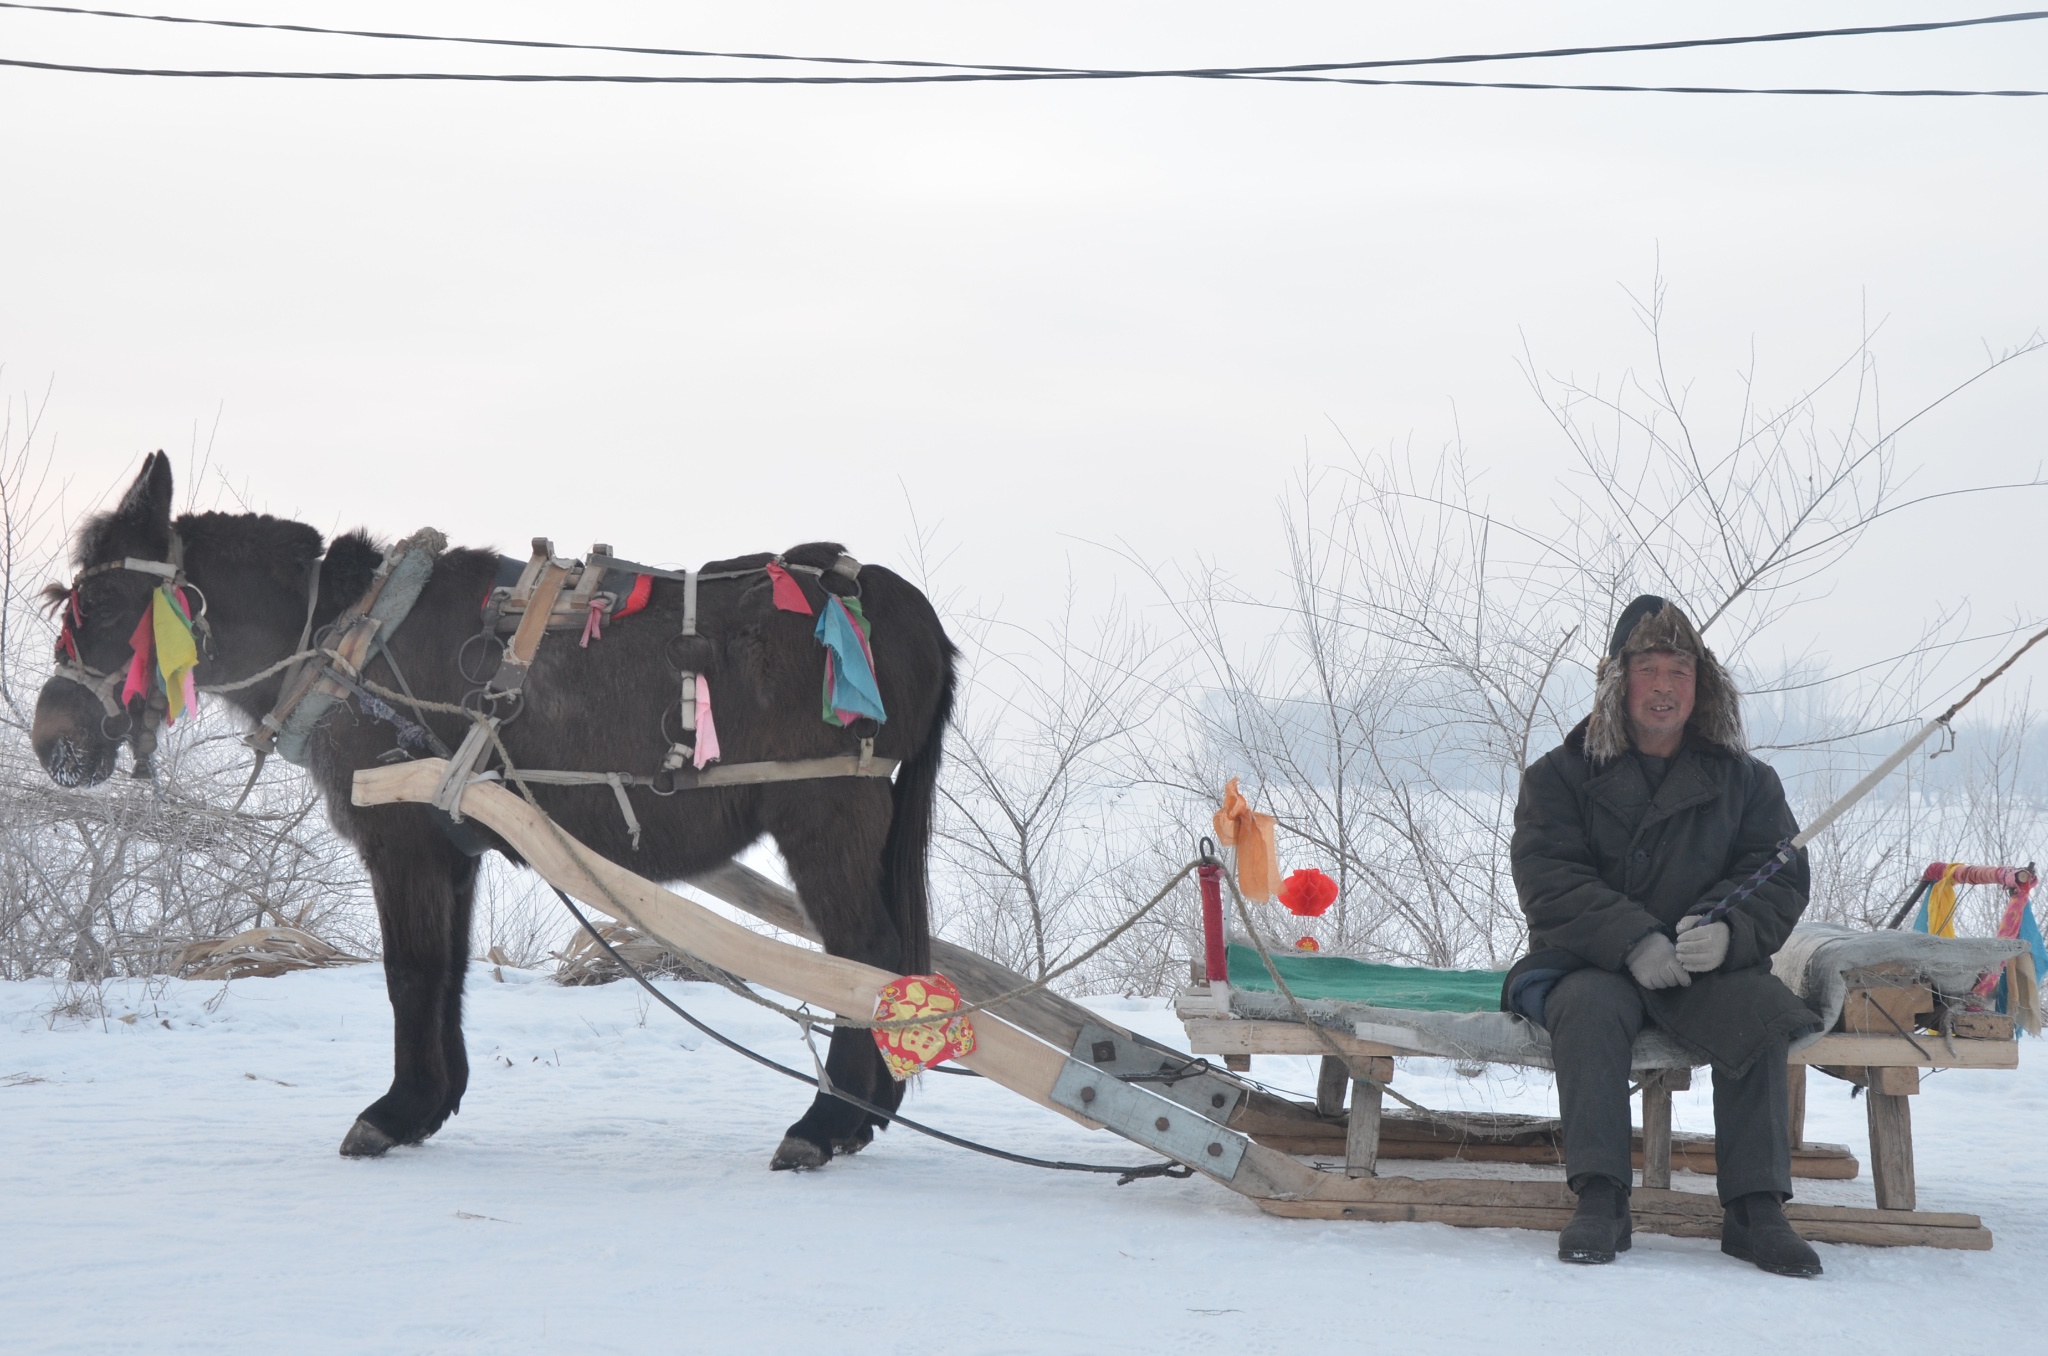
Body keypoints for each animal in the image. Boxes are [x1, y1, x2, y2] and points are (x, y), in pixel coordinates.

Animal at [34, 454, 958, 1171]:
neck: (348, 641)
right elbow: (445, 972)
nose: (53, 741)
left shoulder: (400, 839)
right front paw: (427, 1105)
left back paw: (827, 1122)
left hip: (827, 813)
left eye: (105, 608)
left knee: (865, 958)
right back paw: (863, 1114)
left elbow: (408, 972)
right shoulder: (453, 844)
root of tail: (901, 607)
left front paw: (393, 1111)